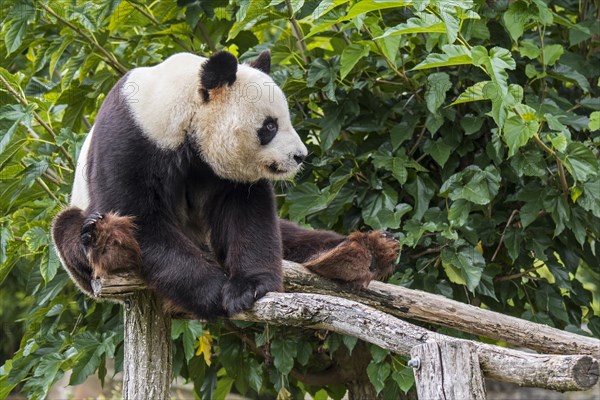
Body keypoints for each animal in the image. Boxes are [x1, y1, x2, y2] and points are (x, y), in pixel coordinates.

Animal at [50, 50, 398, 318]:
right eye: (269, 126)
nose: (300, 156)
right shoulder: (130, 139)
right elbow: (141, 218)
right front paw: (216, 292)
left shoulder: (229, 173)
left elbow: (249, 215)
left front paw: (249, 287)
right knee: (69, 228)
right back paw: (108, 242)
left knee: (295, 237)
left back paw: (359, 253)